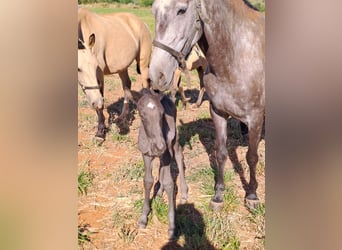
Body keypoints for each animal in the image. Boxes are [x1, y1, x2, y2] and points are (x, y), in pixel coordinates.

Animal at [79, 7, 152, 140]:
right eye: (79, 69)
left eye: (96, 66)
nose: (95, 102)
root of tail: (141, 22)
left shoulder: (99, 75)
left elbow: (101, 102)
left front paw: (100, 132)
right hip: (122, 67)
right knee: (127, 85)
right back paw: (122, 118)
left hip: (143, 65)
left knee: (146, 84)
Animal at [136, 88, 187, 238]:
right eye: (141, 115)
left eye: (162, 114)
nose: (159, 146)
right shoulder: (146, 155)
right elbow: (148, 181)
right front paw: (143, 218)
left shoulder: (166, 153)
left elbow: (169, 183)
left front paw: (171, 226)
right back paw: (158, 192)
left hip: (173, 140)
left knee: (179, 155)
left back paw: (184, 193)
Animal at [149, 0, 264, 210]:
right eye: (154, 10)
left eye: (181, 10)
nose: (156, 75)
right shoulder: (218, 113)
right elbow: (221, 154)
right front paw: (218, 195)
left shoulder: (256, 117)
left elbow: (251, 157)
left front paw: (252, 195)